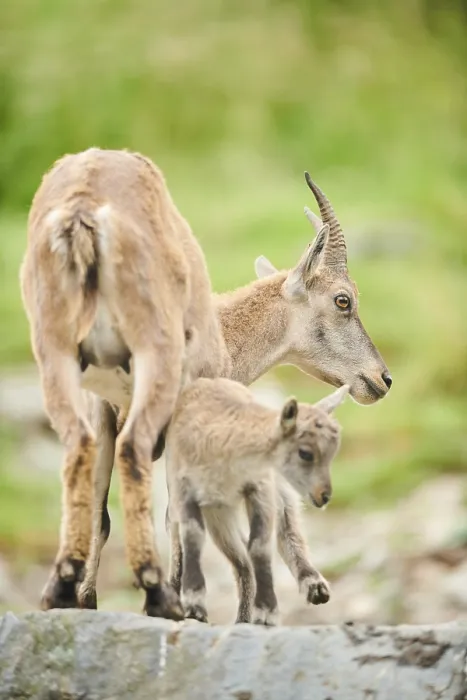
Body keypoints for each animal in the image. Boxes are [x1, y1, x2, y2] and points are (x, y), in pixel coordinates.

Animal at [20, 147, 228, 618]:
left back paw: (62, 589)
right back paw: (157, 593)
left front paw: (85, 597)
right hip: (154, 351)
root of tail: (83, 213)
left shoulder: (101, 405)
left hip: (56, 354)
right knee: (133, 452)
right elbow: (175, 510)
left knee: (79, 450)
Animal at [166, 378, 348, 625]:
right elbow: (192, 536)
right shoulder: (187, 489)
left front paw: (266, 612)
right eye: (305, 453)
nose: (324, 496)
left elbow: (259, 546)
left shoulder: (259, 487)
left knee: (280, 535)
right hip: (219, 512)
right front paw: (194, 605)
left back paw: (313, 586)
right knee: (239, 559)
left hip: (269, 493)